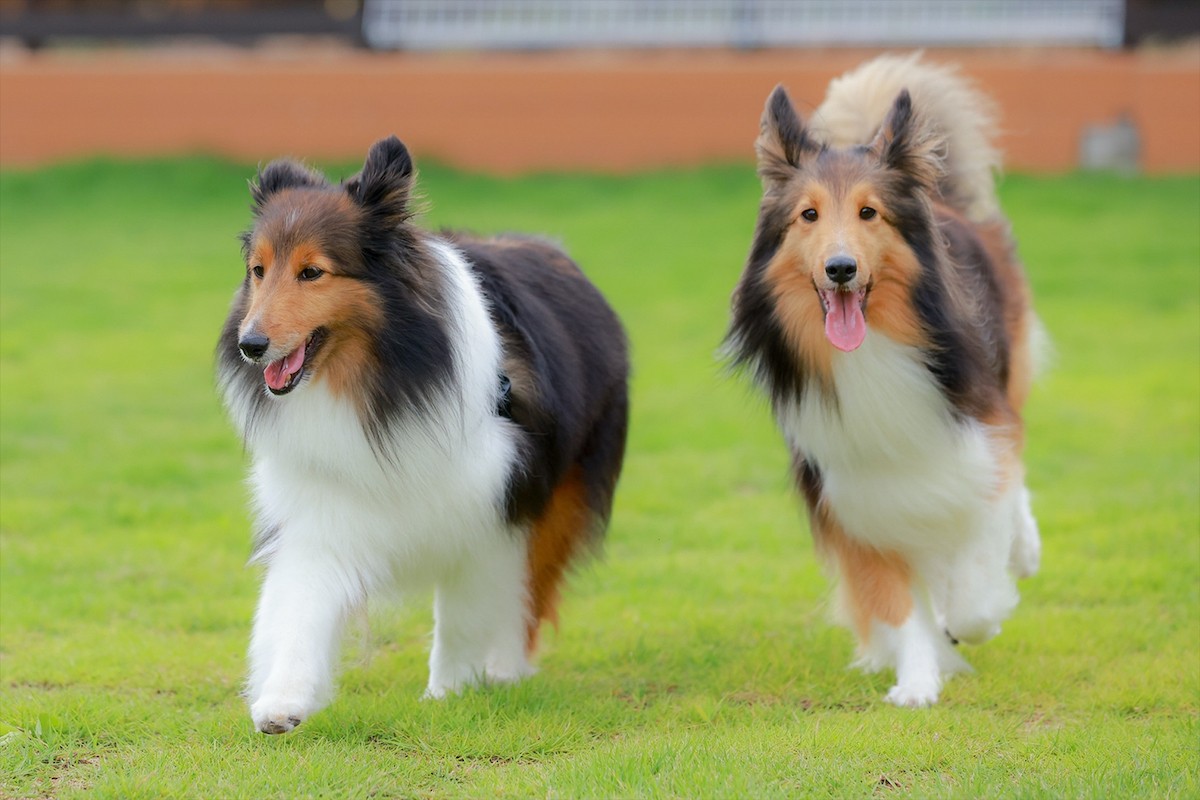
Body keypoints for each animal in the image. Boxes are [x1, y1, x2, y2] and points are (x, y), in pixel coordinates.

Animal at [219, 136, 628, 734]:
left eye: (312, 272)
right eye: (258, 270)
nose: (250, 345)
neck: (380, 385)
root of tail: (550, 248)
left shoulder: (490, 511)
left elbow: (462, 613)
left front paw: (448, 689)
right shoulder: (321, 513)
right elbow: (299, 607)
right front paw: (282, 702)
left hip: (556, 497)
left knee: (529, 589)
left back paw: (506, 665)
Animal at [720, 54, 1041, 705]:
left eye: (869, 213)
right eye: (809, 214)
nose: (840, 269)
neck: (872, 351)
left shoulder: (976, 443)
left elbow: (977, 569)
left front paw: (981, 613)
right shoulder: (851, 495)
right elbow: (897, 603)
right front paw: (917, 680)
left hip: (1009, 381)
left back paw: (1023, 552)